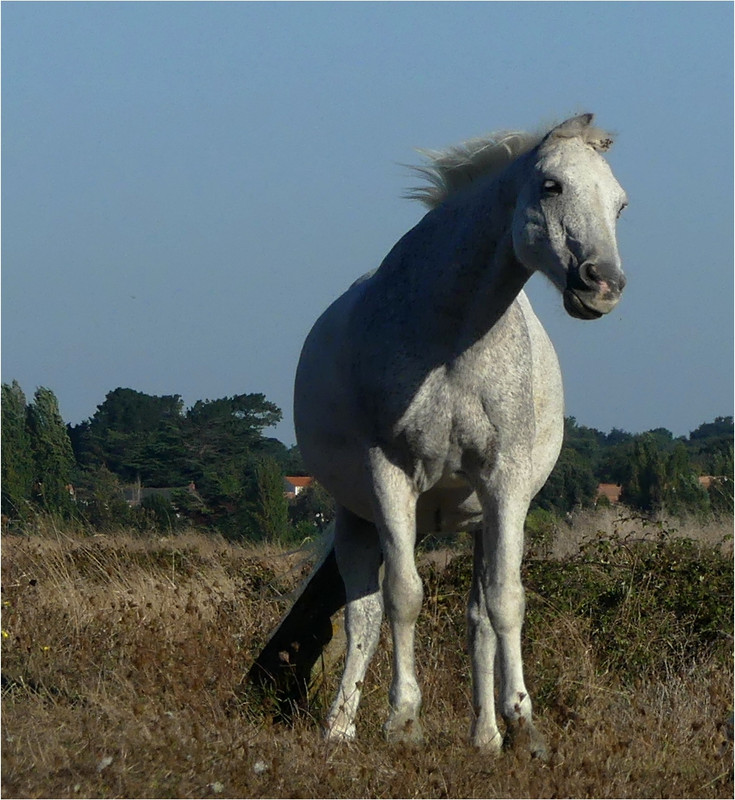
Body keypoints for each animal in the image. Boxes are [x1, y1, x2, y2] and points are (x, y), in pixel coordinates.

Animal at [252, 112, 628, 756]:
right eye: (551, 185)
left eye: (621, 204)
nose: (602, 283)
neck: (453, 337)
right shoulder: (391, 475)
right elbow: (403, 598)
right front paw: (404, 720)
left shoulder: (504, 485)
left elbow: (505, 605)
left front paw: (522, 724)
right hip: (359, 520)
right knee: (364, 615)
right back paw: (340, 726)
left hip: (477, 524)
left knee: (478, 620)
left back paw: (485, 736)